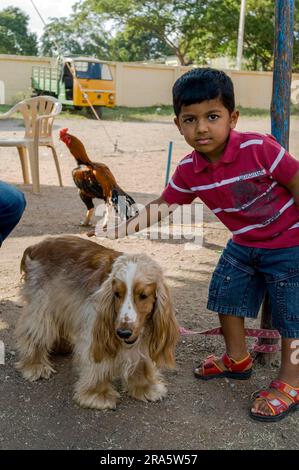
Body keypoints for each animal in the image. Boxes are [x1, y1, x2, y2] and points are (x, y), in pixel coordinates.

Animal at [15, 237, 179, 410]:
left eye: (143, 295)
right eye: (117, 294)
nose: (123, 333)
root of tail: (35, 246)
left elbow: (141, 359)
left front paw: (145, 387)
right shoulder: (94, 329)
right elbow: (98, 364)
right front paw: (98, 394)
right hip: (42, 305)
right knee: (34, 333)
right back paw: (35, 365)